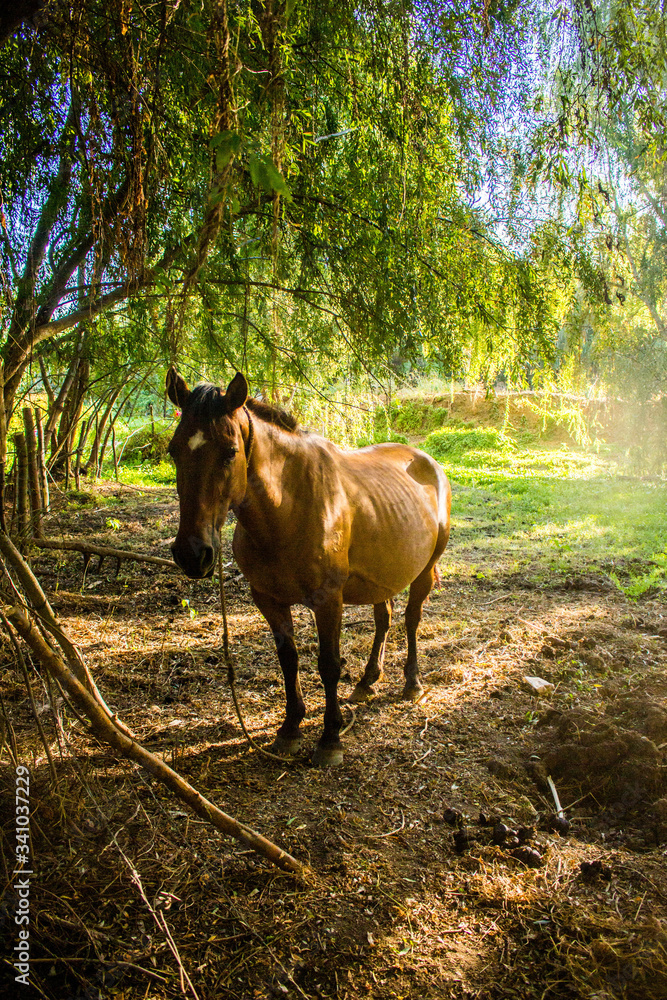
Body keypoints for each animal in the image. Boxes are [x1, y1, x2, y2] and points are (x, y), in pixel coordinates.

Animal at [166, 367, 451, 766]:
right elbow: (289, 660)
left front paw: (330, 738)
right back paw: (367, 681)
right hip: (382, 573)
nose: (192, 554)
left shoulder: (328, 600)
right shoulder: (267, 599)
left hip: (424, 572)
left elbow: (328, 665)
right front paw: (289, 728)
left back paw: (412, 683)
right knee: (385, 619)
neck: (287, 507)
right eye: (173, 451)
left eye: (230, 453)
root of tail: (427, 461)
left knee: (411, 620)